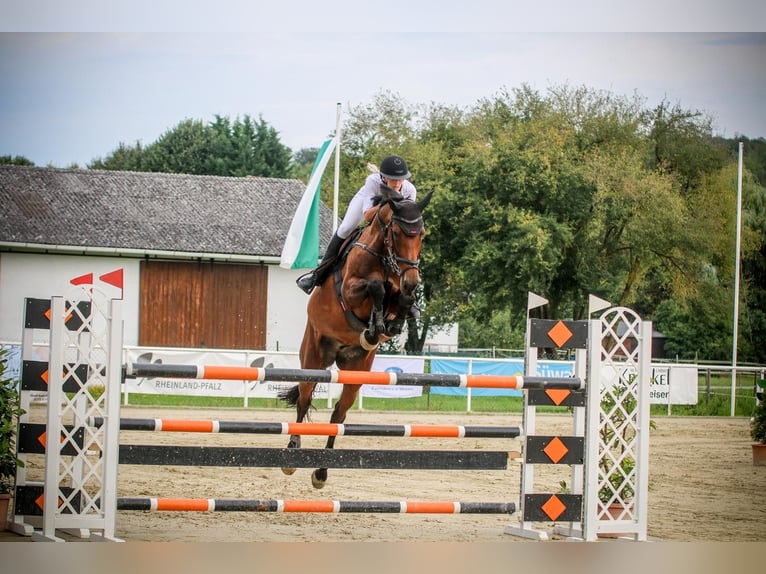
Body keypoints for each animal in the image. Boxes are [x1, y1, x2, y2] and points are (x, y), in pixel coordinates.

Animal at [280, 186, 432, 490]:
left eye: (421, 234)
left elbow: (400, 300)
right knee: (303, 399)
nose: (412, 280)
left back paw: (321, 472)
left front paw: (386, 324)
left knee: (339, 415)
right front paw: (376, 320)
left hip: (356, 372)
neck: (384, 260)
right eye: (396, 233)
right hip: (313, 358)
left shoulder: (398, 290)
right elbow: (375, 287)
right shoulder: (350, 290)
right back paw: (292, 455)